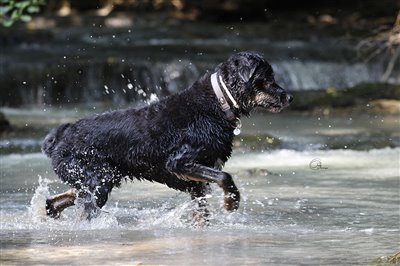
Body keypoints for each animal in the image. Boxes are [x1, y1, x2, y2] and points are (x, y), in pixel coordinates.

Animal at [43, 51, 290, 220]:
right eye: (267, 79)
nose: (290, 97)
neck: (219, 102)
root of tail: (58, 137)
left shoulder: (196, 183)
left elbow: (202, 212)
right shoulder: (180, 162)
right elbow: (225, 177)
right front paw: (231, 202)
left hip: (97, 179)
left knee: (56, 200)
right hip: (97, 182)